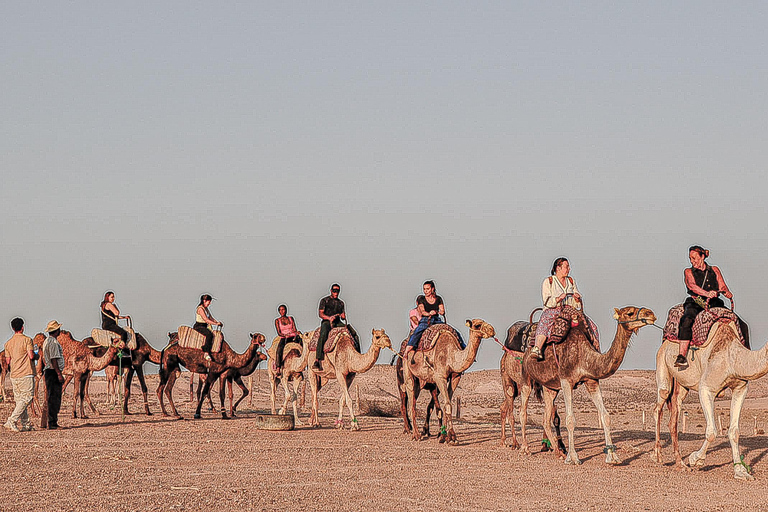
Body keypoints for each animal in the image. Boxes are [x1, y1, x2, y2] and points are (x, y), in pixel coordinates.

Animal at [520, 306, 656, 466]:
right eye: (630, 313)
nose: (651, 314)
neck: (583, 355)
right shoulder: (566, 380)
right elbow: (570, 420)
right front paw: (573, 458)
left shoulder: (591, 380)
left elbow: (605, 416)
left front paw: (612, 457)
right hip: (526, 376)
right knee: (523, 412)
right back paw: (525, 449)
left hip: (550, 387)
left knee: (546, 419)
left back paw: (558, 452)